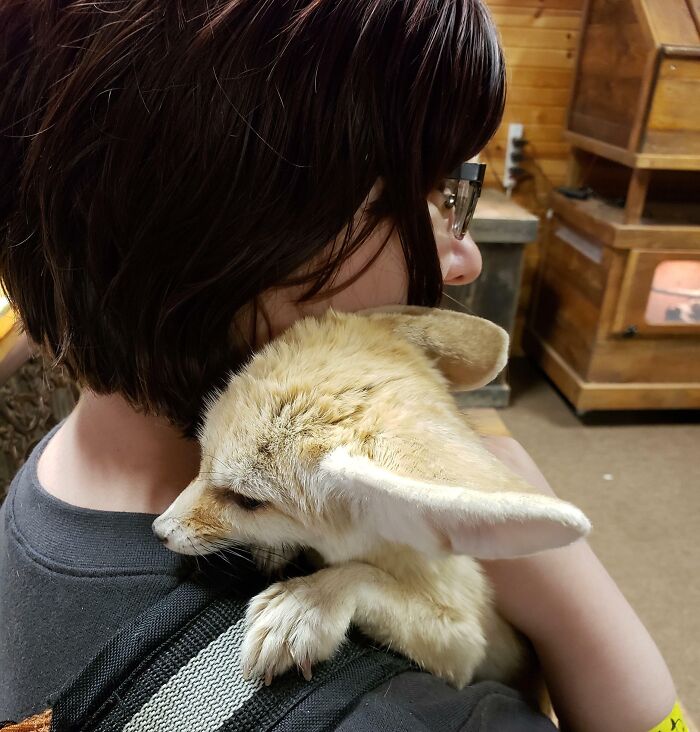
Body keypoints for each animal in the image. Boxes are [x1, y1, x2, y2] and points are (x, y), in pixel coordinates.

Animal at [153, 306, 590, 688]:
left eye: (247, 501)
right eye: (202, 456)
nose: (159, 530)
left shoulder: (467, 642)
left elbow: (362, 576)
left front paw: (307, 602)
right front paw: (276, 551)